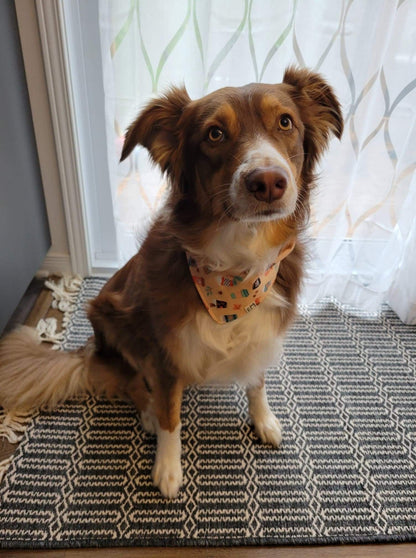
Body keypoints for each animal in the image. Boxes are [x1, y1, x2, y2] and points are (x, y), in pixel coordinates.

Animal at [0, 65, 342, 498]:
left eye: (285, 122)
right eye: (214, 134)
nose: (268, 182)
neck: (237, 268)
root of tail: (93, 348)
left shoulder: (261, 333)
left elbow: (257, 381)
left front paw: (264, 420)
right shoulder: (164, 352)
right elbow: (170, 415)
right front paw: (167, 468)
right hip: (114, 317)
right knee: (132, 380)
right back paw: (146, 412)